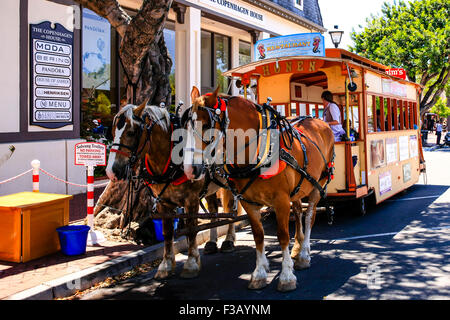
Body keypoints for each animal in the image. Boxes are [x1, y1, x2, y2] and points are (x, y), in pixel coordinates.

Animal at [106, 101, 243, 278]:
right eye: (112, 132)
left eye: (130, 132)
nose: (111, 171)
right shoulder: (163, 201)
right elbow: (168, 232)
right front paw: (165, 265)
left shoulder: (191, 199)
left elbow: (191, 230)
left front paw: (191, 263)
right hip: (211, 185)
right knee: (214, 210)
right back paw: (212, 243)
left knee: (230, 208)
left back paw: (228, 240)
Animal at [185, 86, 336, 292]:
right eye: (188, 125)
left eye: (207, 125)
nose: (190, 169)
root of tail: (319, 121)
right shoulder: (249, 202)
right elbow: (258, 236)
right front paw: (259, 273)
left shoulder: (281, 200)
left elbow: (282, 235)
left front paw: (286, 276)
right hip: (299, 187)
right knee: (298, 211)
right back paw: (297, 248)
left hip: (317, 185)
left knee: (309, 216)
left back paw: (304, 254)